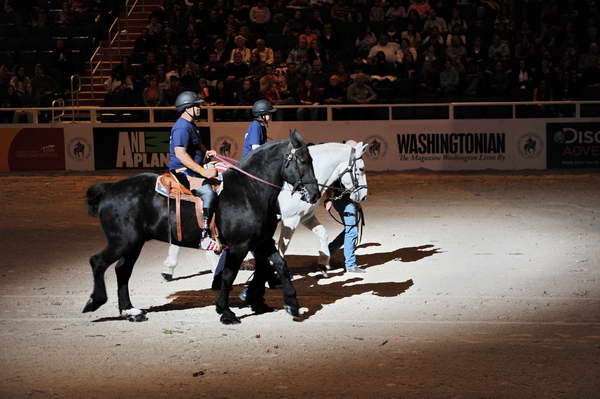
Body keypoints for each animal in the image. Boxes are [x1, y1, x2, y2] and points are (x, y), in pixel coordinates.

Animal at [83, 131, 324, 324]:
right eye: (302, 160)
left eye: (312, 159)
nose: (314, 194)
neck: (249, 191)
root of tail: (109, 189)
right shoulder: (239, 245)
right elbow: (228, 276)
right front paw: (226, 312)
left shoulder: (262, 241)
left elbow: (281, 266)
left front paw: (291, 304)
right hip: (123, 240)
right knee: (98, 262)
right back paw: (95, 301)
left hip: (134, 243)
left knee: (122, 270)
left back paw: (130, 311)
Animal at [161, 143, 366, 282]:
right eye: (361, 169)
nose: (363, 196)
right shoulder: (290, 220)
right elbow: (282, 247)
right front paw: (277, 270)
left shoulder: (305, 217)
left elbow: (323, 234)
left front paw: (323, 264)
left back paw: (169, 270)